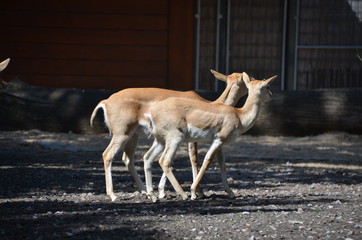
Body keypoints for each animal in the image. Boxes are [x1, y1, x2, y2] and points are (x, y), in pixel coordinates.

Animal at [90, 70, 249, 202]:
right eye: (246, 80)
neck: (212, 104)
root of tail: (105, 101)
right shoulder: (191, 140)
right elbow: (193, 159)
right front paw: (197, 192)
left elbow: (219, 160)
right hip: (122, 134)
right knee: (108, 155)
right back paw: (113, 195)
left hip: (133, 136)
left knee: (128, 159)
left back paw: (146, 191)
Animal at [146, 72, 276, 200]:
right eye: (267, 86)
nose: (271, 95)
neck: (239, 115)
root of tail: (151, 113)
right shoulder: (218, 140)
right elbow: (207, 160)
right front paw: (194, 192)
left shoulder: (219, 143)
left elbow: (222, 163)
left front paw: (230, 192)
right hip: (175, 139)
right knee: (164, 161)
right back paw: (183, 194)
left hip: (160, 141)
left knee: (148, 157)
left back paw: (153, 195)